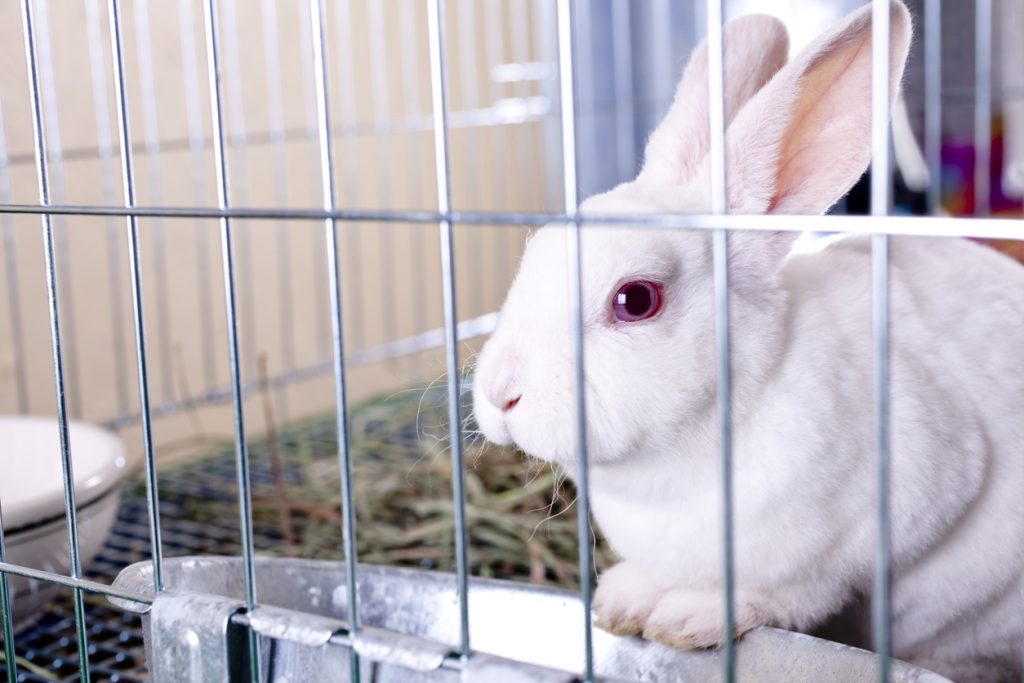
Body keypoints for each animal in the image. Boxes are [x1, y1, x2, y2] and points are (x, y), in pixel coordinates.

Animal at [471, 2, 1024, 679]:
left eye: (636, 300)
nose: (500, 394)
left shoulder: (902, 505)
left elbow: (793, 593)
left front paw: (688, 618)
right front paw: (622, 604)